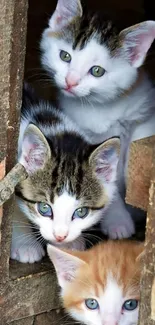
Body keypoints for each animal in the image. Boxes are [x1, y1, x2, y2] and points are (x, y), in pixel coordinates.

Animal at [40, 0, 155, 238]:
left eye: (97, 71)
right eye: (65, 56)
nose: (71, 81)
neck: (101, 107)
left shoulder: (145, 112)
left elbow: (138, 149)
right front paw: (118, 221)